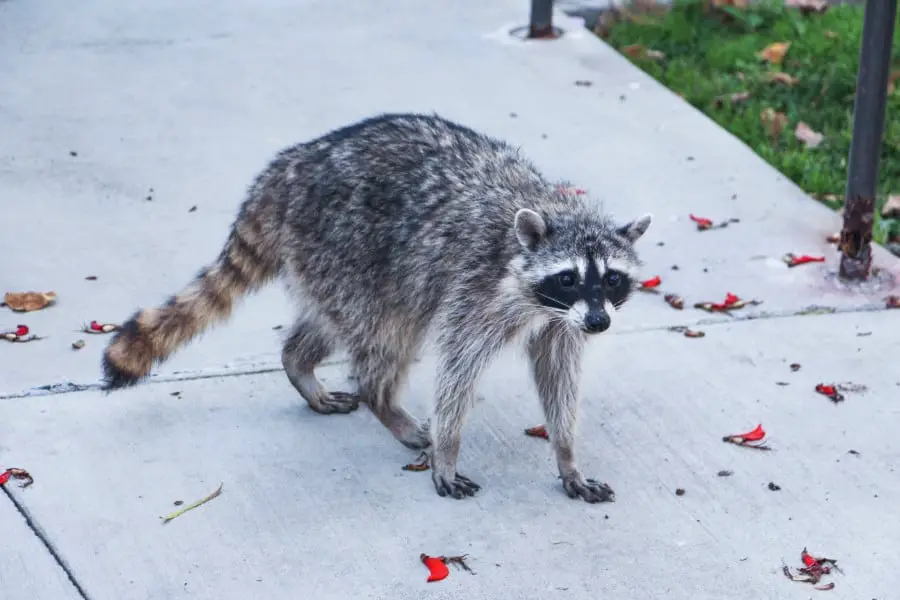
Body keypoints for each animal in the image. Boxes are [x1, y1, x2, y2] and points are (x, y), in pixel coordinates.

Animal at [102, 111, 652, 502]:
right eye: (568, 277)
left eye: (613, 279)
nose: (600, 322)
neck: (556, 211)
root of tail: (290, 167)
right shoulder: (477, 290)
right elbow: (458, 369)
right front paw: (448, 450)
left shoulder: (560, 321)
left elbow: (558, 375)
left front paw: (566, 453)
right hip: (345, 248)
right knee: (386, 334)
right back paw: (382, 401)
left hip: (335, 263)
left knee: (331, 323)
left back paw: (299, 362)